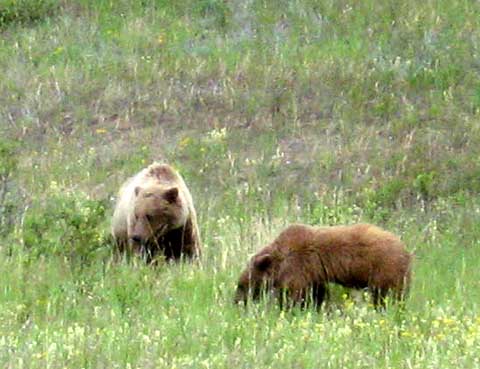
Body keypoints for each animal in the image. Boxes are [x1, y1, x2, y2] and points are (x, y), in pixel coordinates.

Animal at [234, 223, 410, 310]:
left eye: (241, 285)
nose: (236, 302)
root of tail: (405, 250)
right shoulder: (314, 273)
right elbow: (317, 293)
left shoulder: (298, 266)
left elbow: (296, 293)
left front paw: (289, 308)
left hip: (384, 269)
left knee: (385, 294)